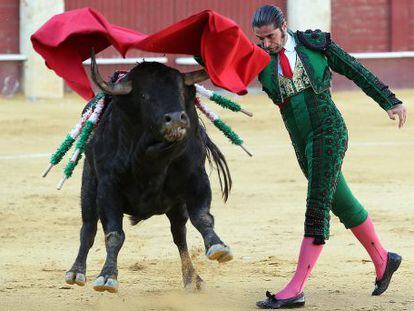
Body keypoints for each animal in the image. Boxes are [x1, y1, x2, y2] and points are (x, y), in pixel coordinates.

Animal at [64, 52, 233, 294]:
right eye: (144, 96)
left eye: (180, 91)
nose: (176, 118)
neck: (153, 157)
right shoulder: (108, 188)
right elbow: (113, 234)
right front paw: (107, 277)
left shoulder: (196, 178)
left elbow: (202, 217)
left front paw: (218, 246)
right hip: (89, 186)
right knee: (88, 228)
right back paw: (76, 272)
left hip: (175, 205)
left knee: (179, 234)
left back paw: (192, 278)